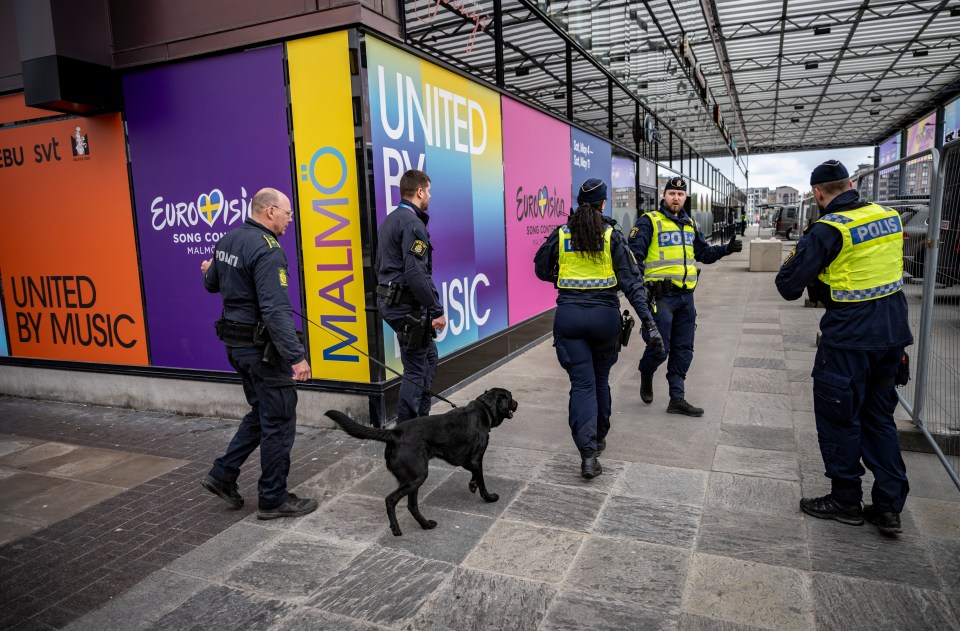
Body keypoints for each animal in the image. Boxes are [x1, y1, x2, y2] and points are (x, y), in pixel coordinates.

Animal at [326, 388, 516, 536]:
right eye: (510, 397)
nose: (517, 403)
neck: (483, 410)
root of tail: (394, 433)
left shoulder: (471, 462)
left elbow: (475, 475)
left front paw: (472, 485)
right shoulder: (477, 459)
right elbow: (482, 480)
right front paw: (489, 497)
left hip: (413, 478)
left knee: (411, 505)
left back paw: (426, 525)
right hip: (418, 476)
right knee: (391, 500)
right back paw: (396, 528)